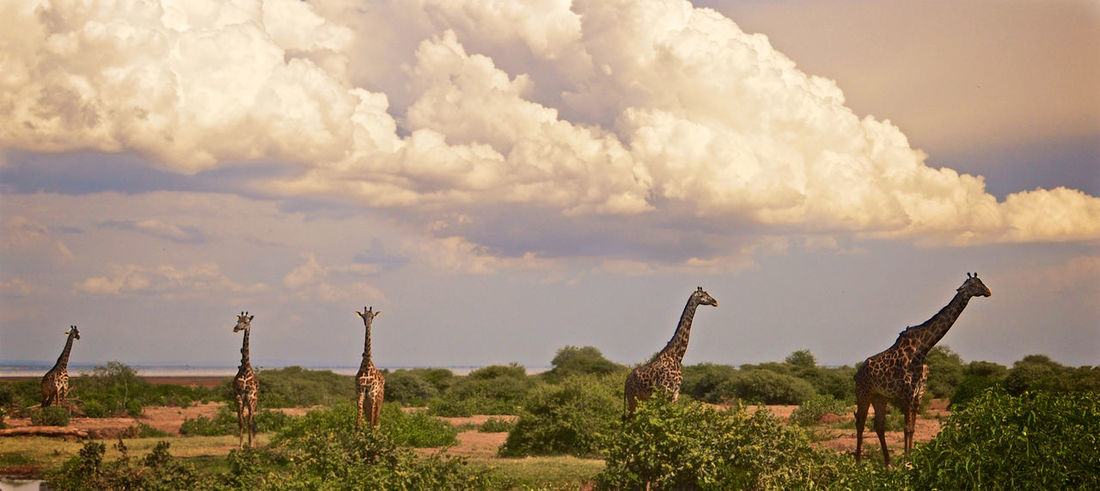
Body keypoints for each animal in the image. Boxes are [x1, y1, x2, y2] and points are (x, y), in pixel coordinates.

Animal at [624, 287, 718, 416]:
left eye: (708, 293)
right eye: (703, 295)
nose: (715, 302)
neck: (677, 356)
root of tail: (626, 381)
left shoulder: (675, 394)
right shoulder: (664, 392)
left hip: (639, 399)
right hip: (633, 398)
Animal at [854, 273, 991, 466]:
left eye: (981, 282)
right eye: (974, 284)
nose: (988, 291)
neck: (923, 348)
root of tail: (857, 373)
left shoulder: (918, 393)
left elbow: (912, 428)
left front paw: (911, 459)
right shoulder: (907, 393)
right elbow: (906, 427)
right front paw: (906, 461)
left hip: (879, 396)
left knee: (879, 426)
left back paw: (888, 464)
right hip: (863, 393)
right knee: (860, 423)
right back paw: (858, 463)